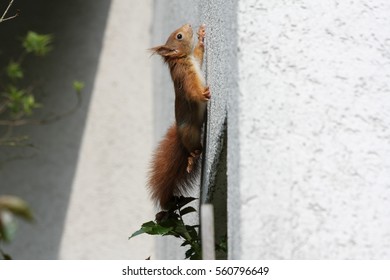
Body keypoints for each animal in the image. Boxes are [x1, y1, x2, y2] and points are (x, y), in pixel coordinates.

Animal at [149, 23, 210, 208]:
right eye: (179, 36)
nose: (189, 25)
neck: (182, 59)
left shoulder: (195, 59)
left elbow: (199, 54)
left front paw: (202, 35)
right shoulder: (186, 78)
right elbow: (193, 93)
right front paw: (204, 94)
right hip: (191, 134)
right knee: (194, 151)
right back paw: (192, 159)